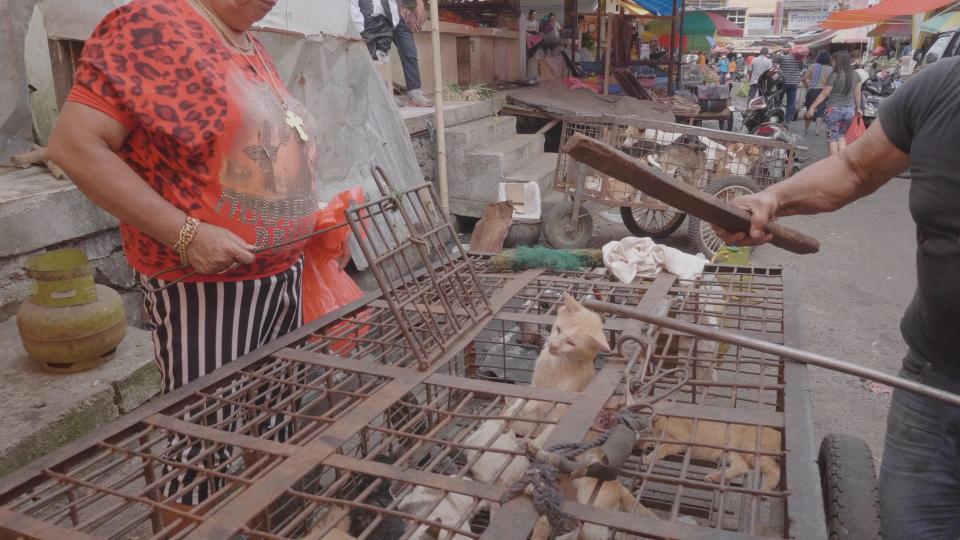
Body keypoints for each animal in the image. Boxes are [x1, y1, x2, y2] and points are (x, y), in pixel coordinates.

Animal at [506, 296, 612, 438]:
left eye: (571, 343)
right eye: (559, 329)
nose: (553, 345)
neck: (556, 367)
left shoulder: (562, 406)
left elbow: (550, 431)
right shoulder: (535, 386)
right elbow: (526, 402)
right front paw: (512, 413)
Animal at [640, 416, 784, 492]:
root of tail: (778, 433)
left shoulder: (679, 439)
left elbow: (662, 447)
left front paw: (649, 457)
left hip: (749, 448)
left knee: (775, 470)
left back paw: (764, 490)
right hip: (734, 453)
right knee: (741, 468)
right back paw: (714, 477)